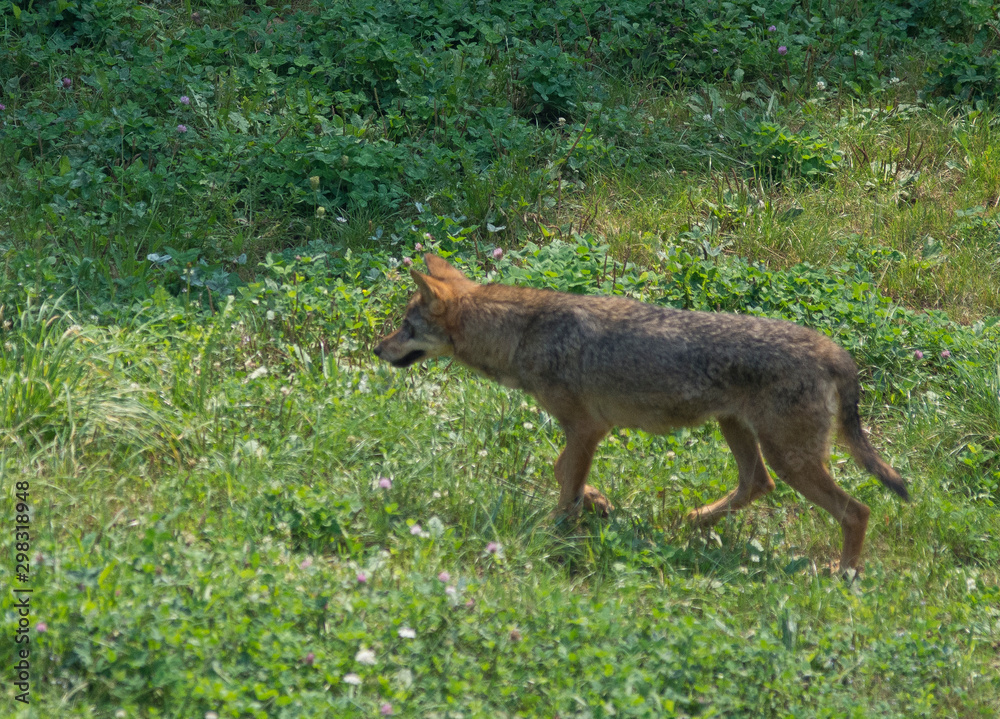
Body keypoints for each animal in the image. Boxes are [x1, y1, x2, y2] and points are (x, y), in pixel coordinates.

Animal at [374, 254, 909, 570]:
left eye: (405, 327)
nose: (377, 349)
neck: (523, 334)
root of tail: (834, 350)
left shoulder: (587, 427)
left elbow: (564, 483)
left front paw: (556, 534)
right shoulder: (585, 432)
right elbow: (563, 471)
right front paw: (597, 502)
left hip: (789, 457)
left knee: (856, 510)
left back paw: (845, 575)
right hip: (739, 432)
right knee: (758, 485)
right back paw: (694, 521)